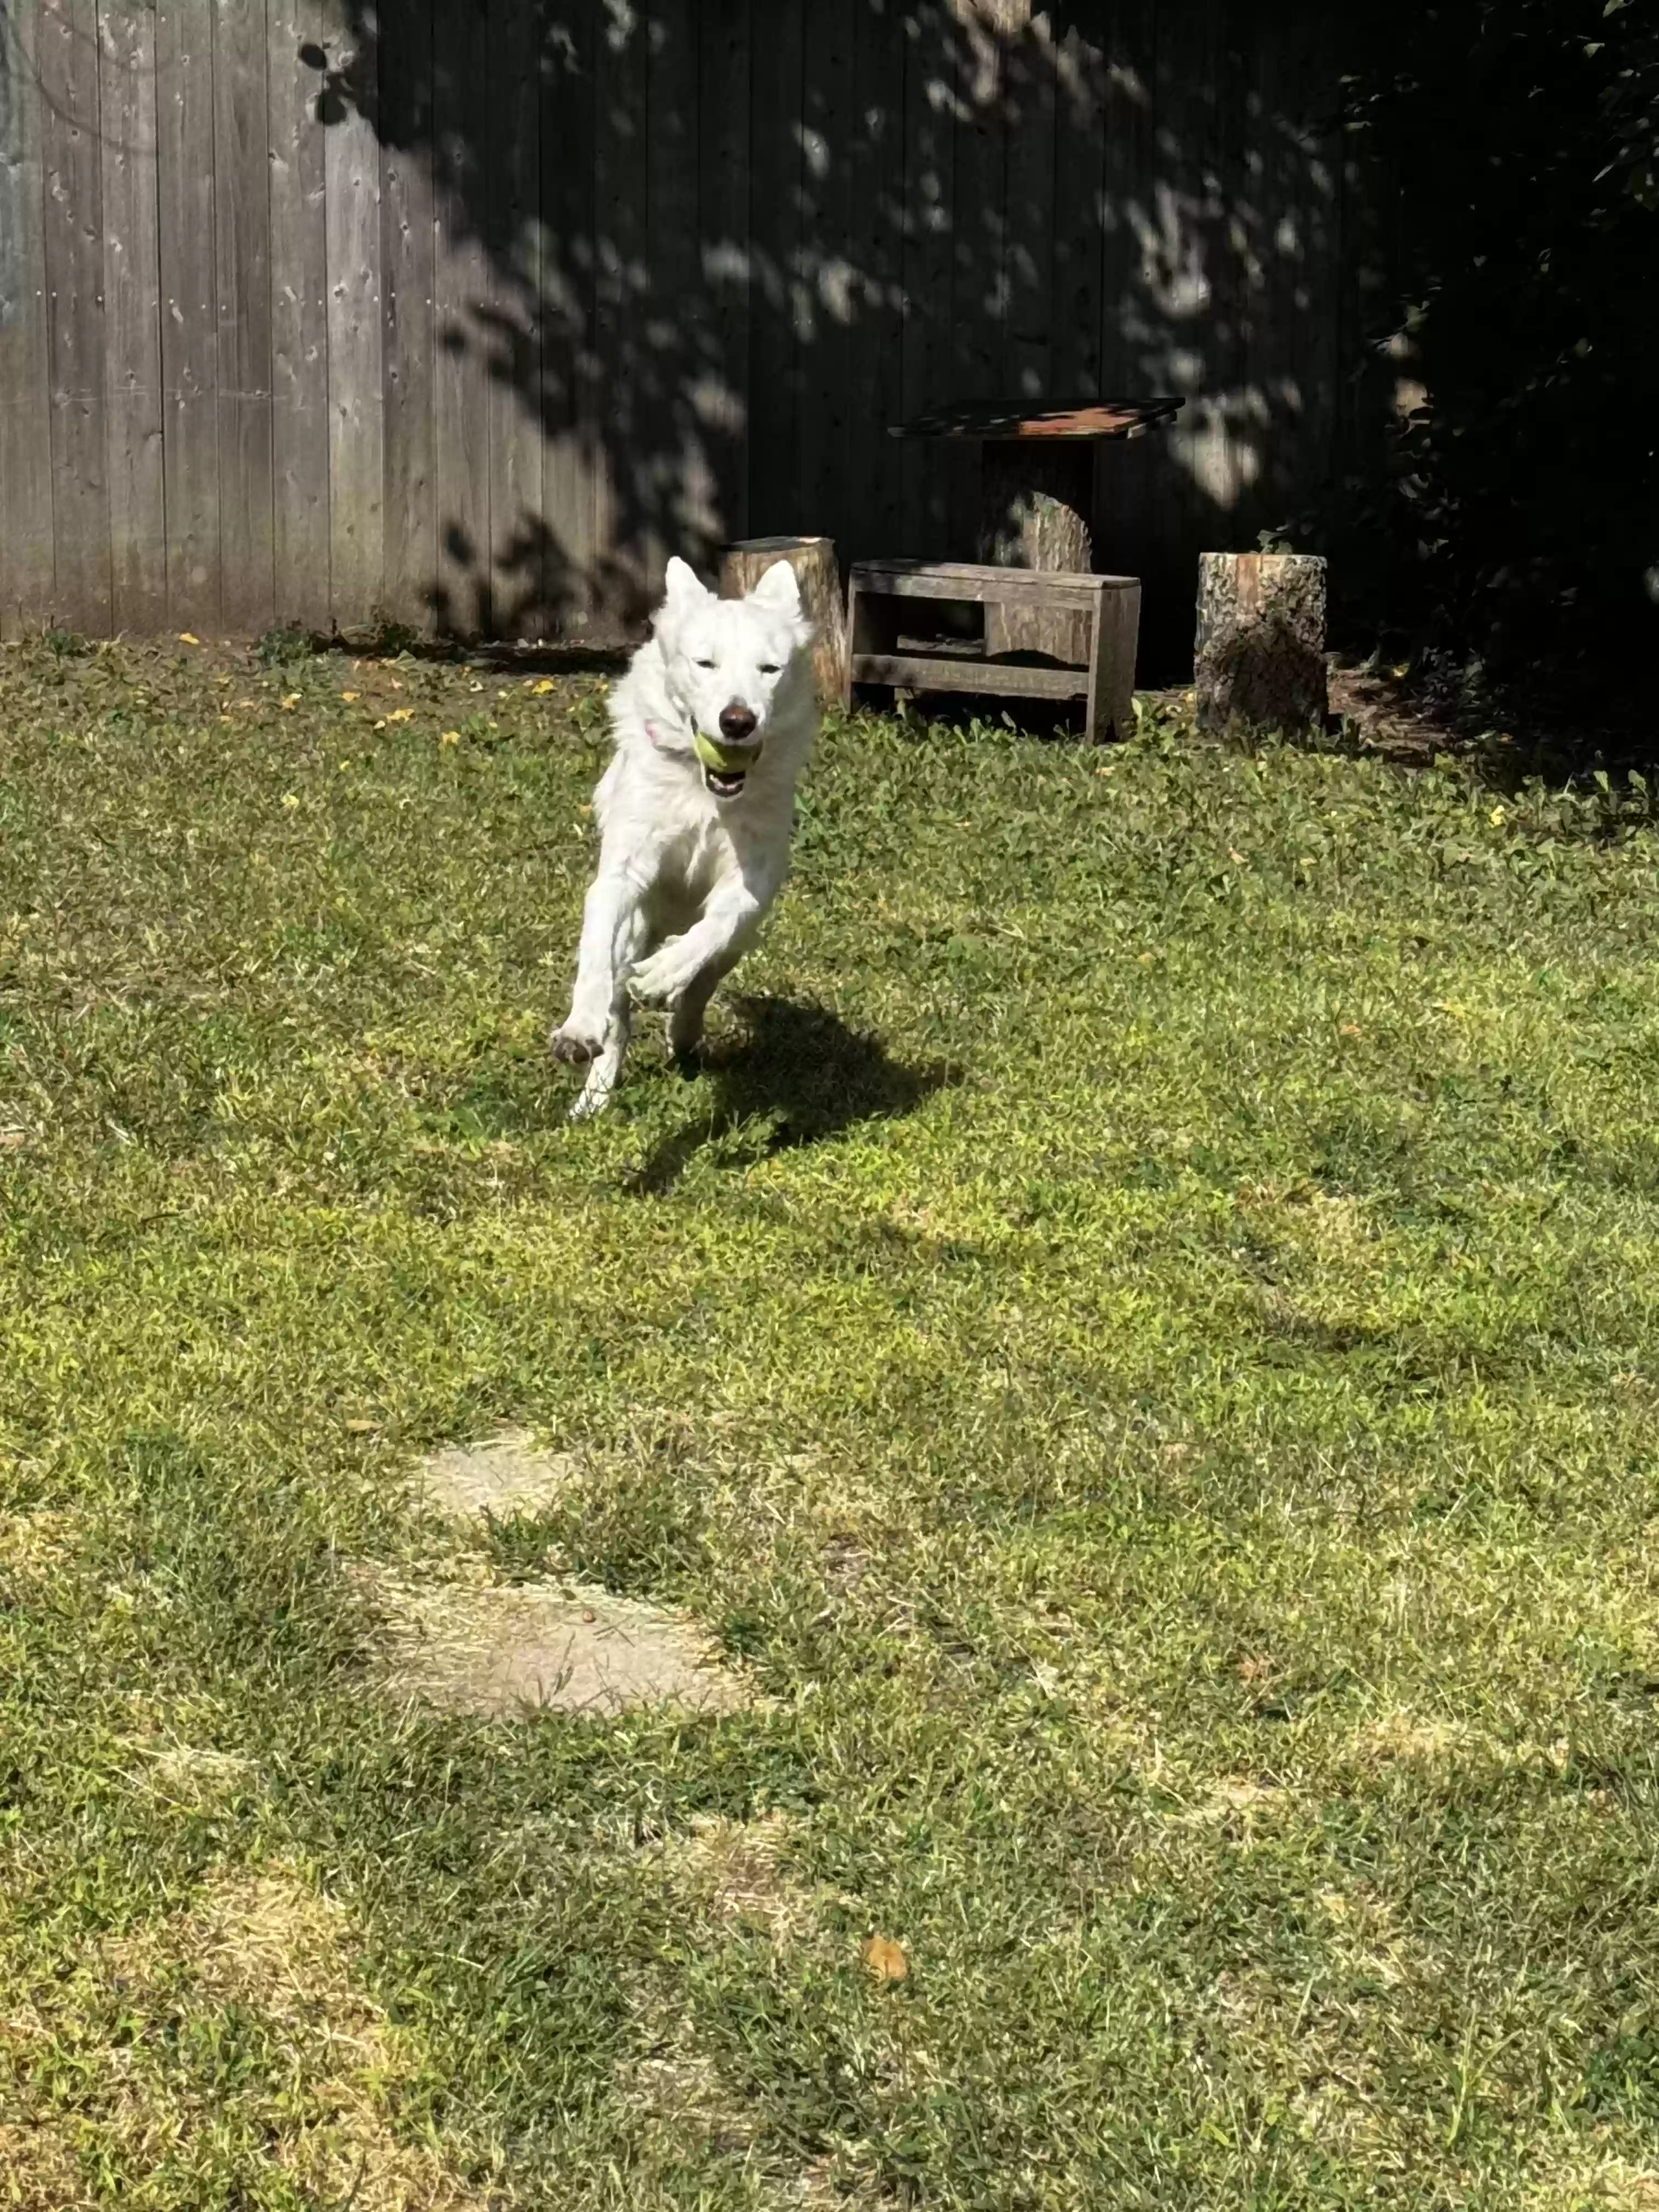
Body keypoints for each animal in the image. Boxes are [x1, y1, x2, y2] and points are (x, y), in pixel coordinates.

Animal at [555, 548, 822, 1106]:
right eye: (706, 664)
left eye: (770, 669)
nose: (738, 720)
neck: (705, 793)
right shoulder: (621, 876)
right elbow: (594, 962)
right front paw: (579, 1030)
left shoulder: (751, 884)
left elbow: (711, 931)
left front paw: (664, 974)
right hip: (635, 928)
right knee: (619, 1014)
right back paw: (596, 1096)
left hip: (738, 945)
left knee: (701, 984)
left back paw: (680, 1025)